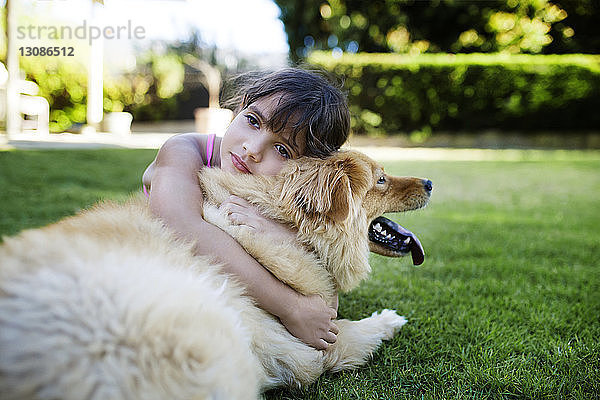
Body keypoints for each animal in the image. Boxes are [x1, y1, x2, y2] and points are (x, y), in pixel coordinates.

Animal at [0, 150, 432, 400]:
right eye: (381, 178)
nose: (429, 181)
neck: (284, 224)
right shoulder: (311, 347)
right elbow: (353, 332)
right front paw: (389, 319)